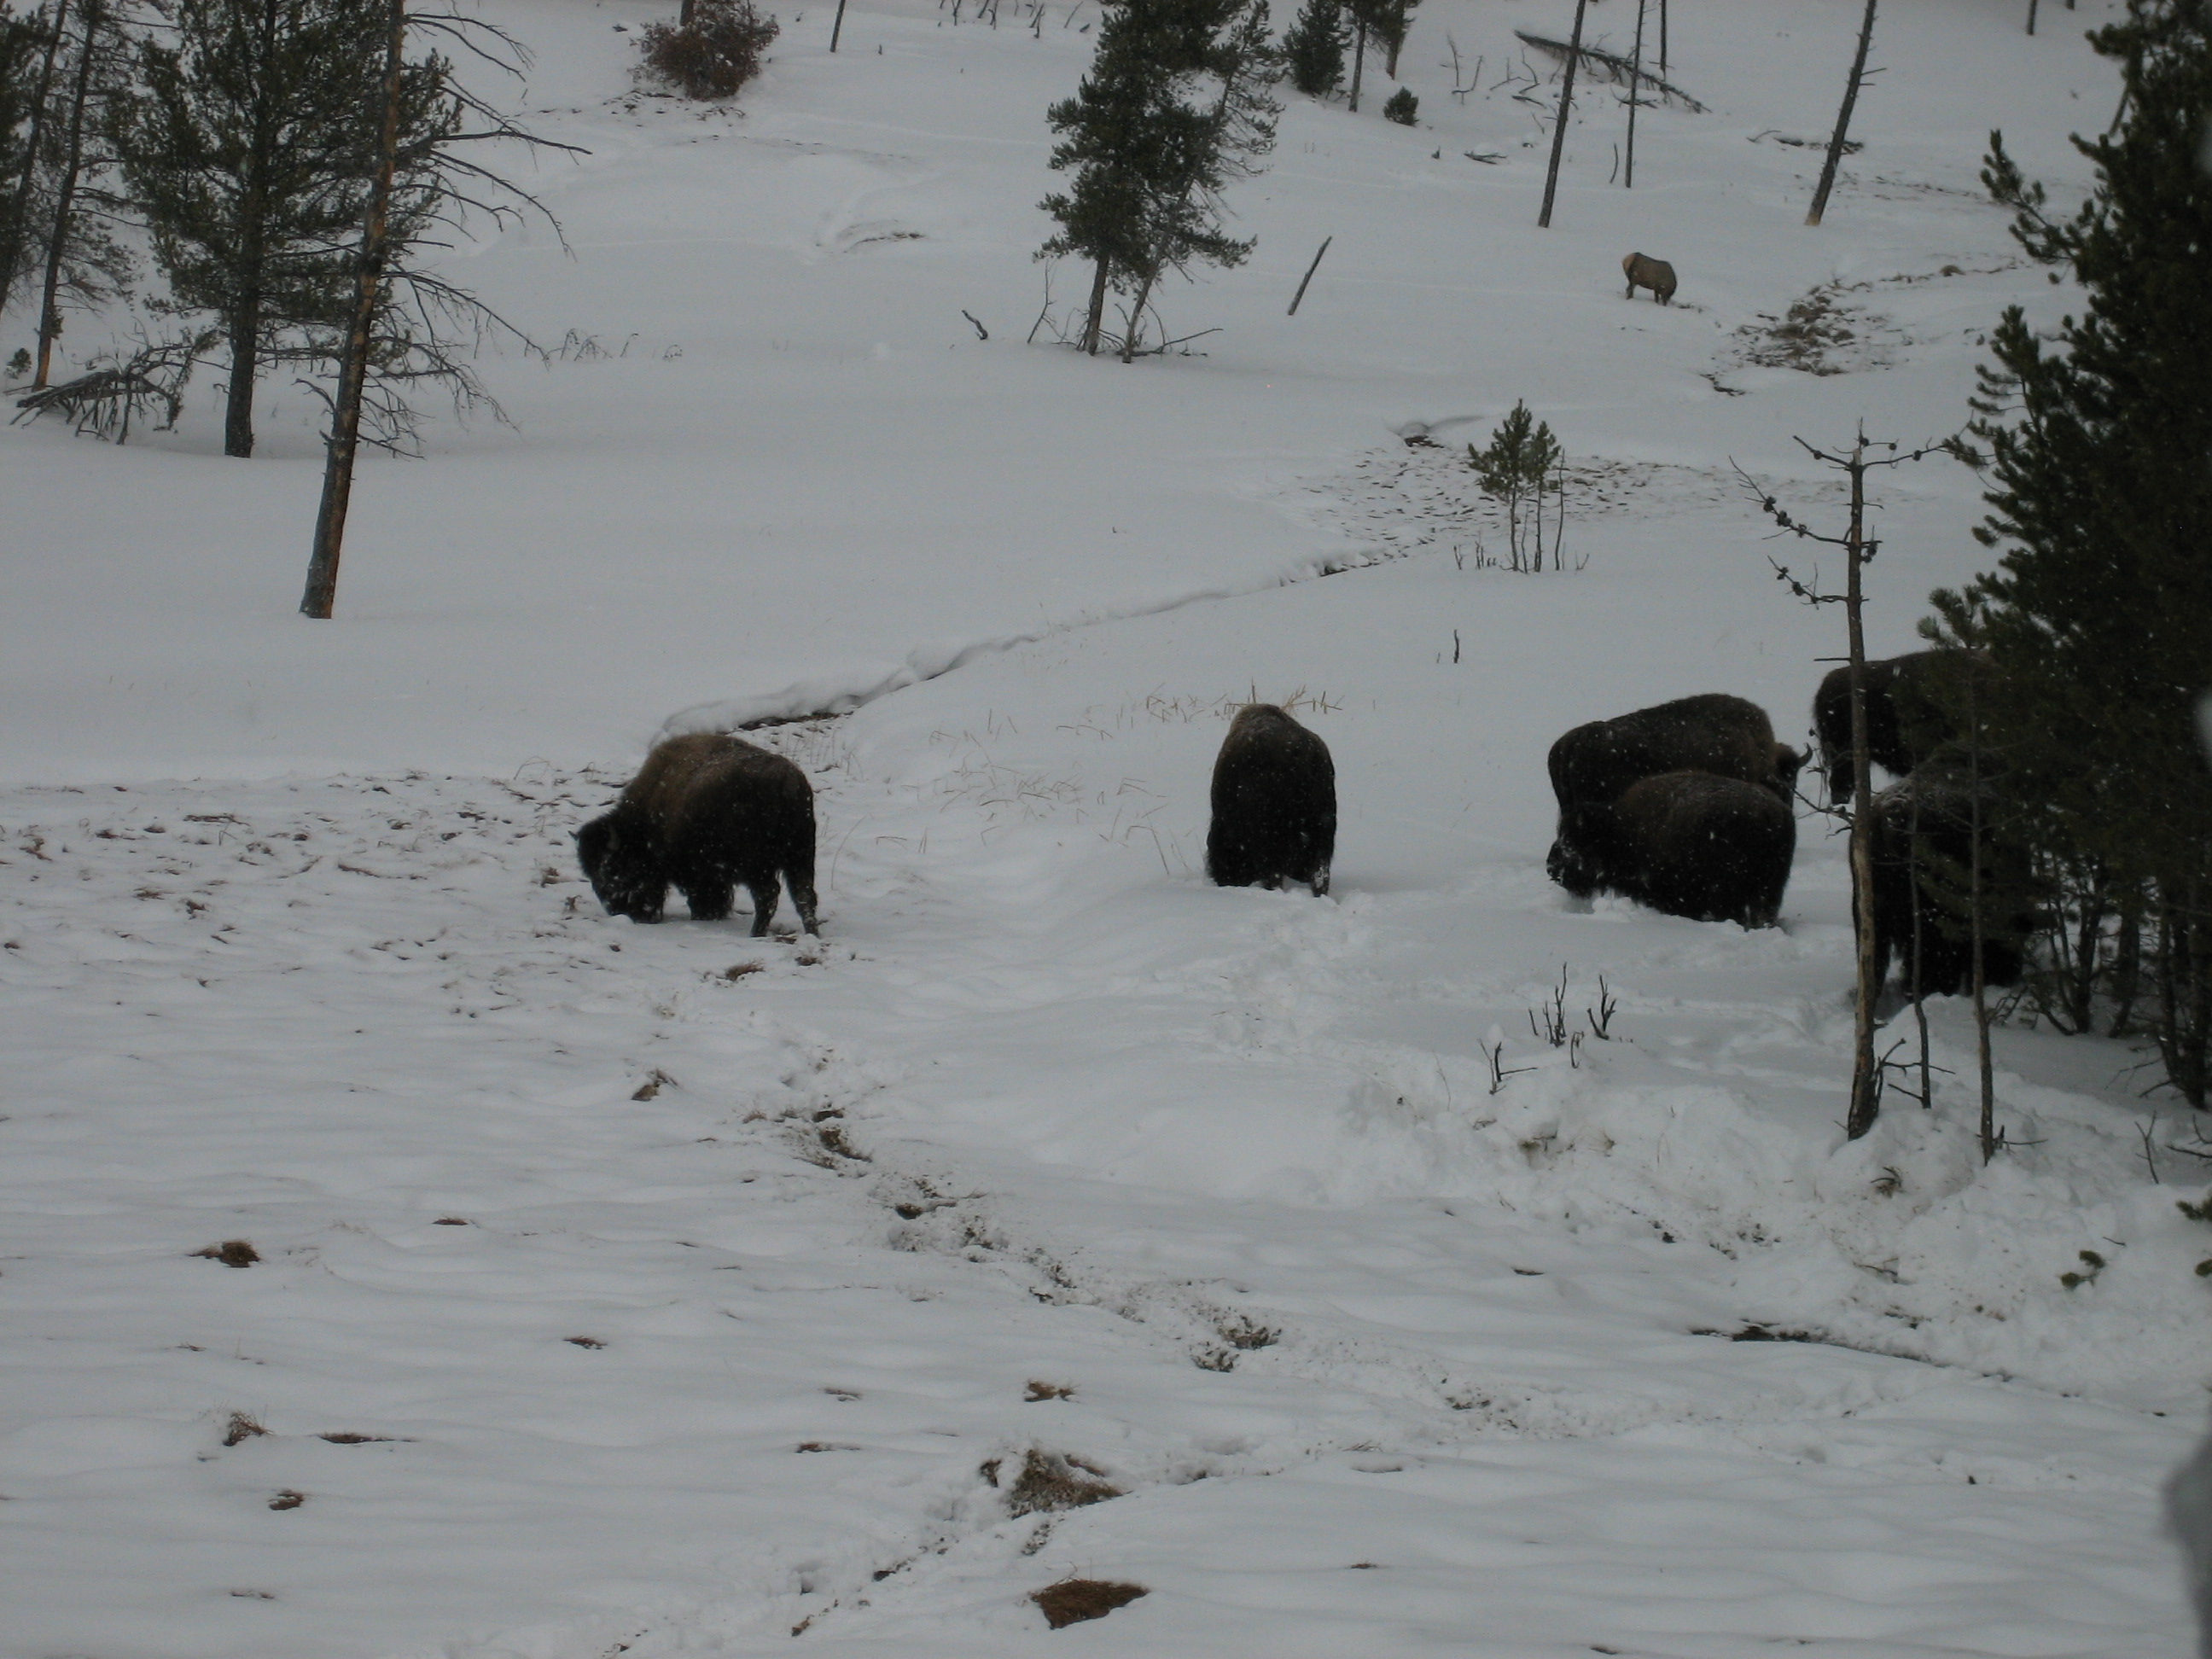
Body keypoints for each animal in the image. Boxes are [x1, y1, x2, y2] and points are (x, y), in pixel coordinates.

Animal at [576, 732, 820, 935]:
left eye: (612, 870)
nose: (617, 910)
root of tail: (787, 781)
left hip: (759, 866)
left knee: (769, 895)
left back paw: (756, 933)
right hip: (801, 858)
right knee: (804, 896)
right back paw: (812, 933)